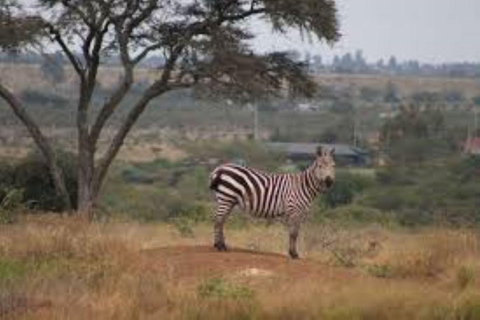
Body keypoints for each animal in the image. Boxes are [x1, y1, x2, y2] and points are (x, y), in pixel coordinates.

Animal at [208, 146, 336, 258]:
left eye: (333, 166)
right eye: (320, 166)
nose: (329, 181)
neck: (303, 186)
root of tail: (219, 169)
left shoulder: (300, 213)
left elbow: (295, 232)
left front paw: (293, 253)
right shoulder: (293, 210)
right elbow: (293, 233)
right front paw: (293, 254)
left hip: (228, 199)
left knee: (221, 220)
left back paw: (221, 245)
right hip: (226, 197)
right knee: (218, 220)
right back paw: (220, 246)